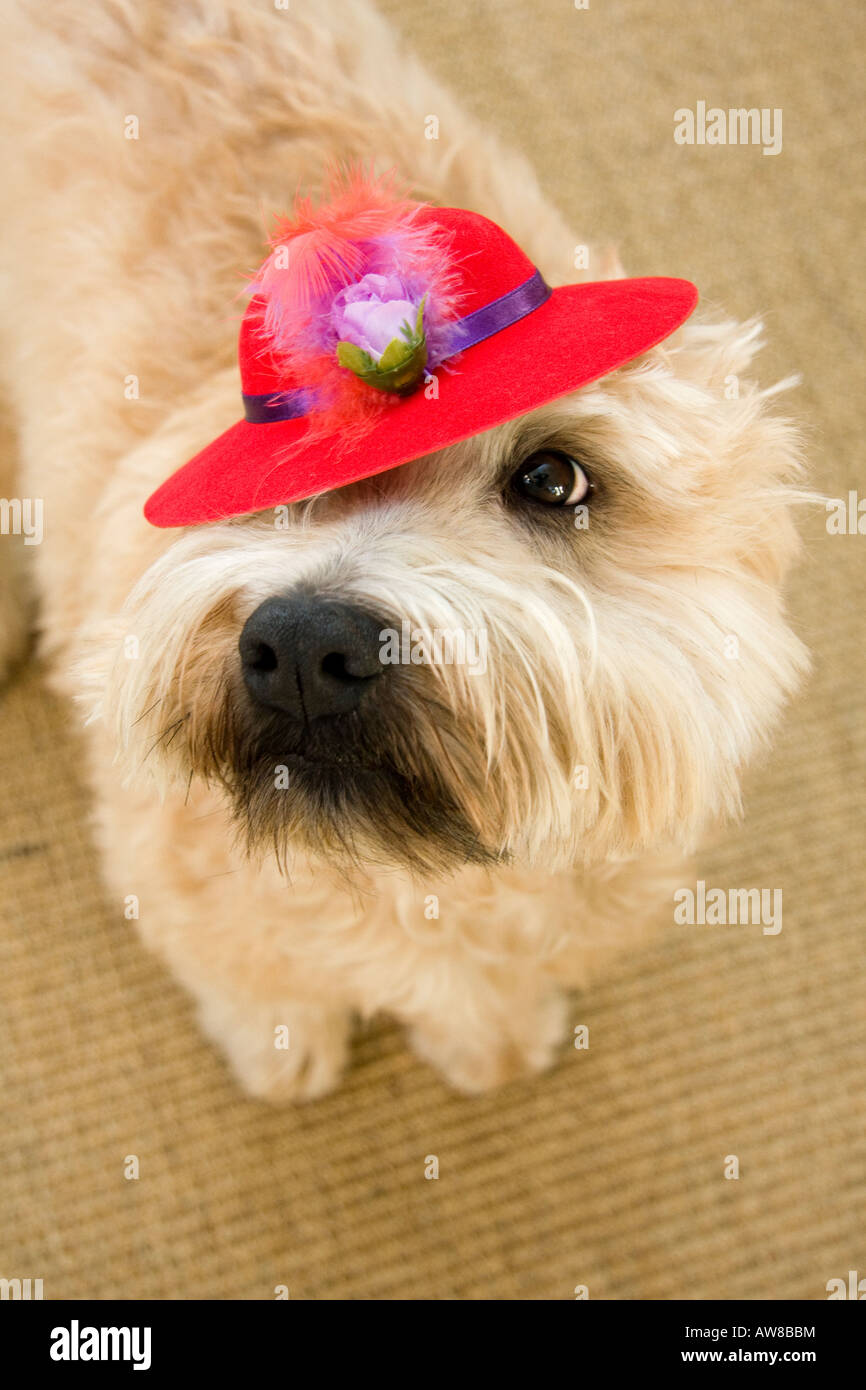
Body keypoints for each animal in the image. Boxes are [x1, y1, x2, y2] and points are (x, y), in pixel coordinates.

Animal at [0, 2, 811, 1106]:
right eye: (287, 473)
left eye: (552, 480)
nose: (304, 646)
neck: (409, 885)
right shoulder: (172, 879)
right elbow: (259, 979)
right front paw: (282, 1047)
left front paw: (492, 1037)